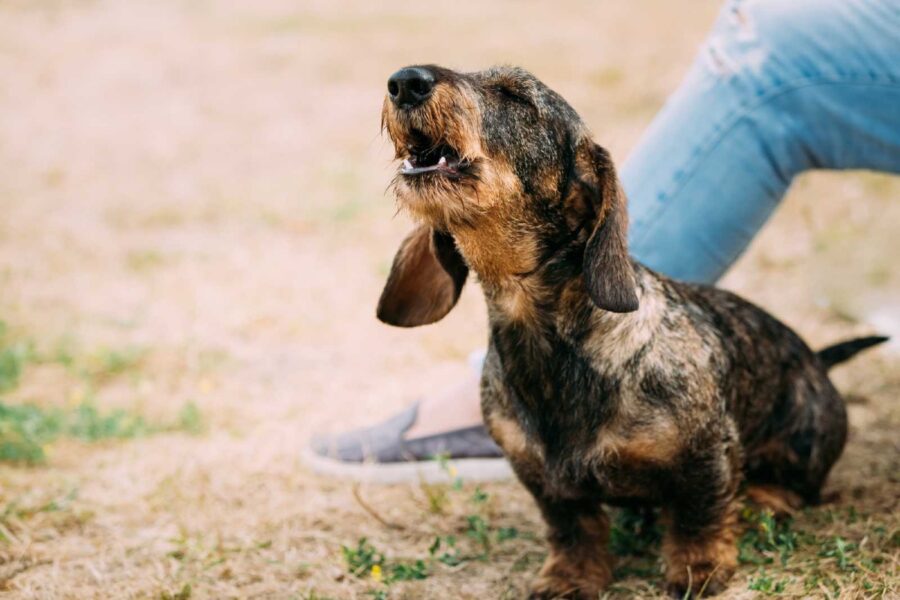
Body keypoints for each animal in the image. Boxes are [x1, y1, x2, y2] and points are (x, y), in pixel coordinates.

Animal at [372, 63, 884, 596]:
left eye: (517, 97)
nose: (405, 80)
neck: (550, 343)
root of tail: (816, 360)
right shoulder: (542, 479)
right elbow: (573, 527)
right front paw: (571, 576)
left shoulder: (706, 453)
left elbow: (699, 514)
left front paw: (698, 567)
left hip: (803, 435)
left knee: (794, 485)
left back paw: (765, 499)